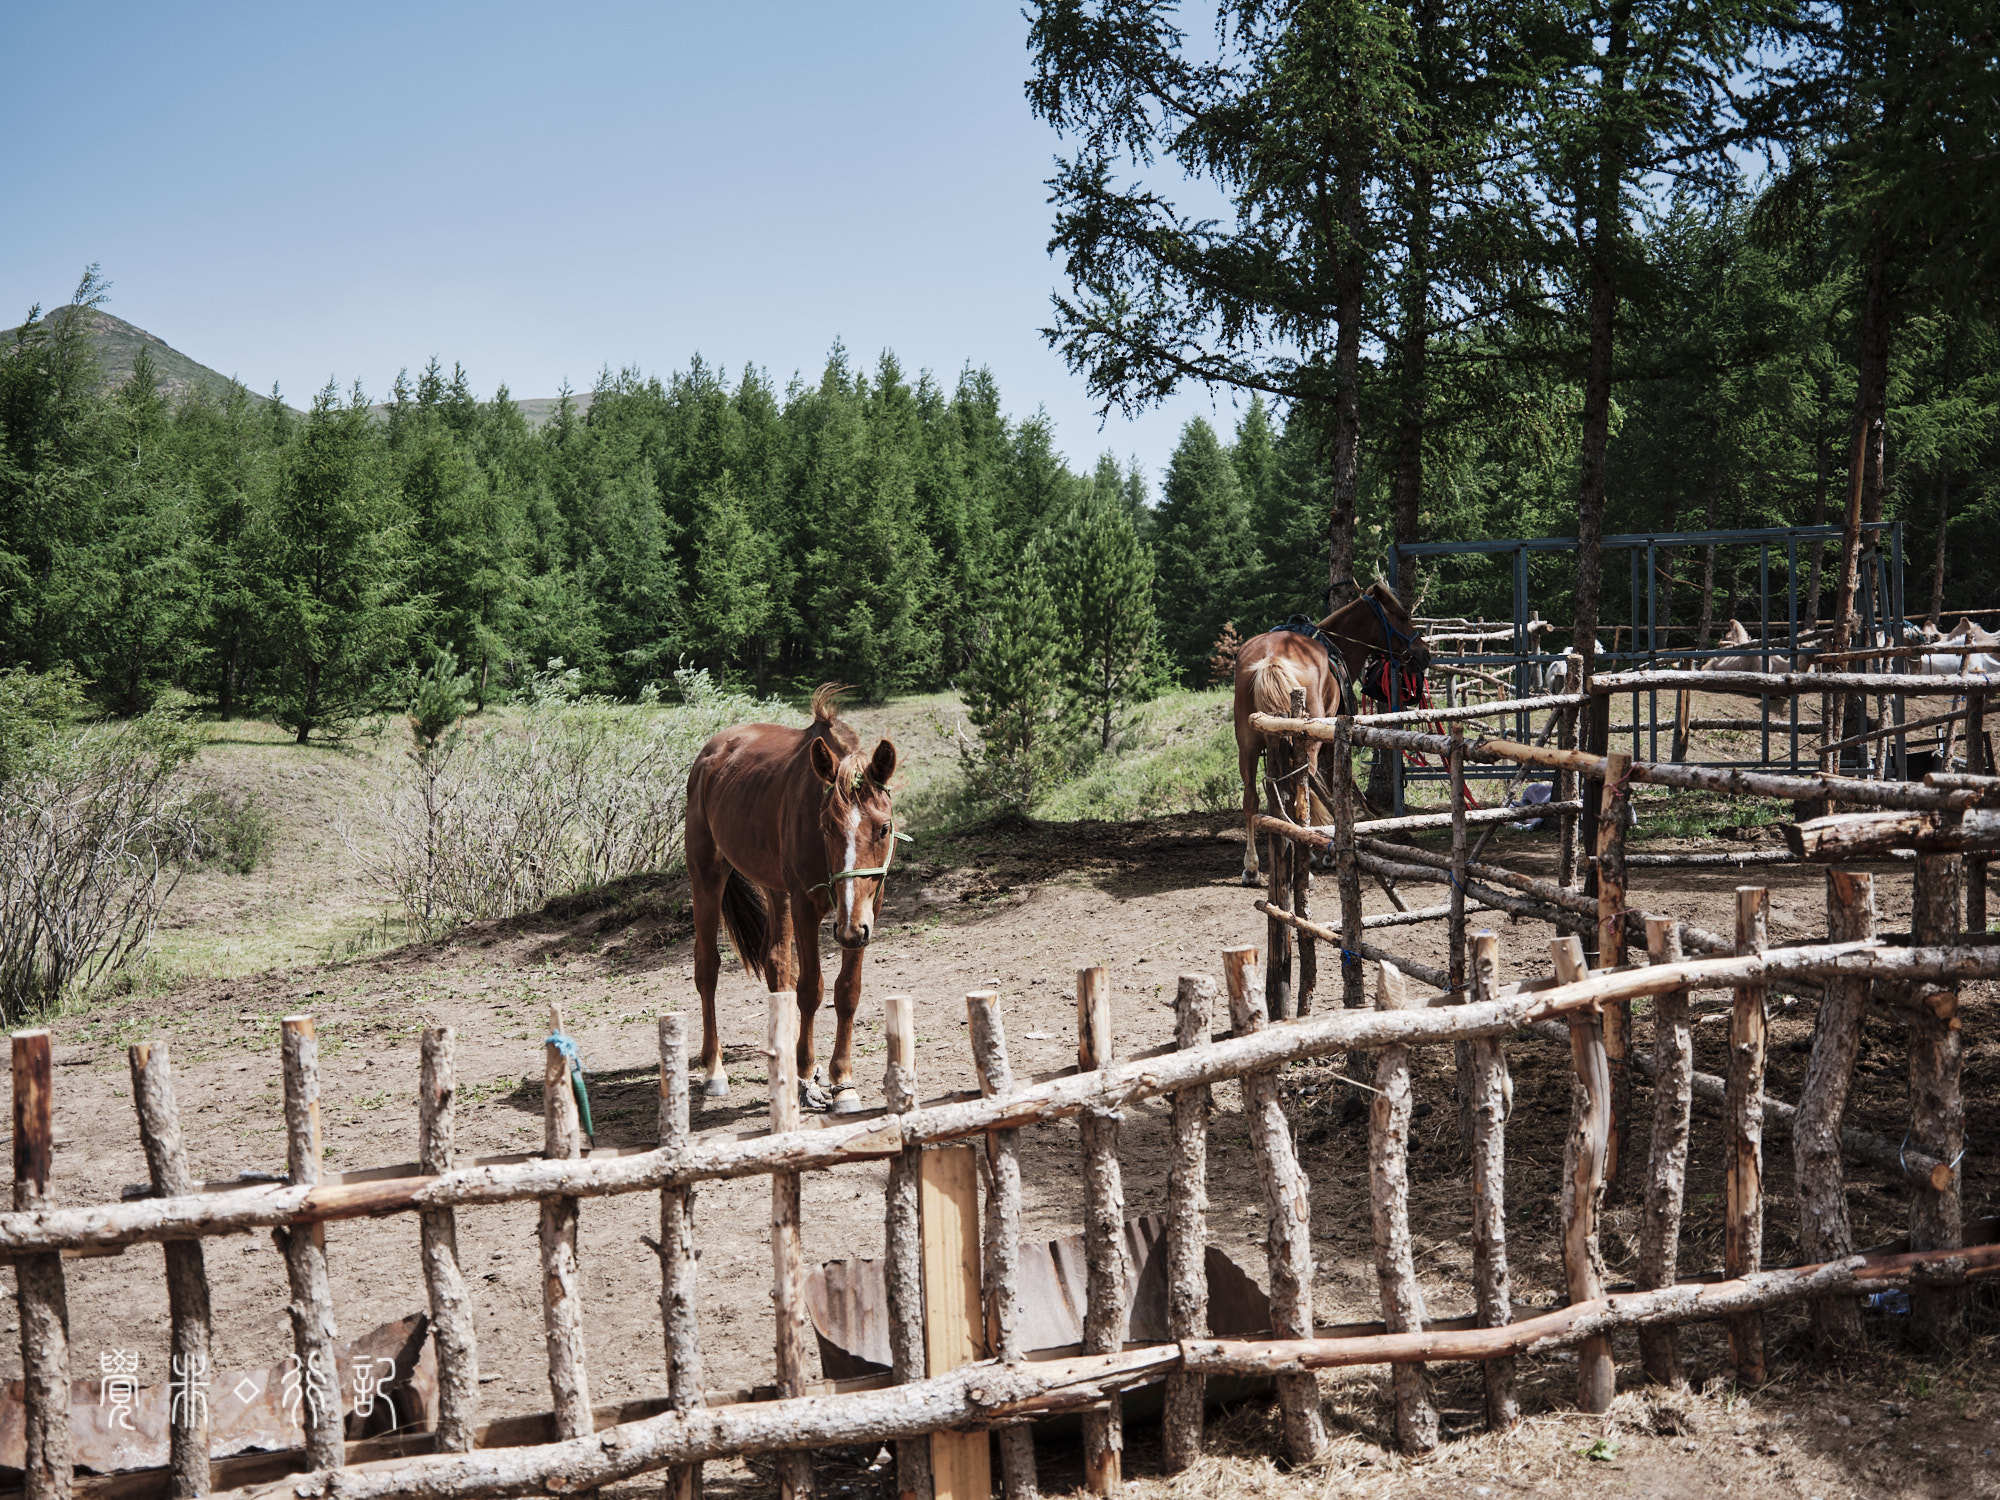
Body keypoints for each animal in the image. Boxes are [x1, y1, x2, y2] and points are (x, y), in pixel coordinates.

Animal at [692, 688, 904, 1112]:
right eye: (826, 827)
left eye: (884, 828)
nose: (850, 930)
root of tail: (711, 752)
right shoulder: (807, 907)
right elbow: (811, 989)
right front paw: (807, 1075)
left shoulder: (865, 913)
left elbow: (847, 991)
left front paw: (842, 1082)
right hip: (706, 877)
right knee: (707, 968)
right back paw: (714, 1071)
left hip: (777, 891)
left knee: (776, 963)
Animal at [1224, 580, 1432, 888]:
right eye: (1402, 616)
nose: (1424, 653)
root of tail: (1270, 659)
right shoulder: (1329, 743)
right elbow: (1321, 791)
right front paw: (1320, 853)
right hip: (1303, 745)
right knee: (1297, 795)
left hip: (1247, 746)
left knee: (1253, 799)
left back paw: (1251, 868)